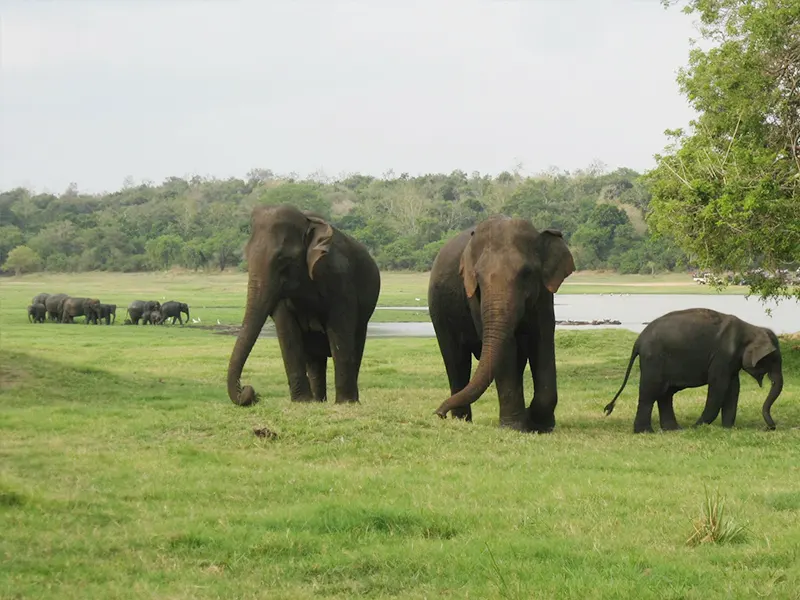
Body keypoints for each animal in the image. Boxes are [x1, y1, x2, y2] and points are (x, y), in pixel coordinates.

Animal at [227, 203, 381, 407]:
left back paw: (349, 400)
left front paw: (345, 403)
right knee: (315, 358)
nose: (250, 392)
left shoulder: (340, 280)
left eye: (283, 259)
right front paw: (302, 402)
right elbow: (287, 331)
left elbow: (340, 333)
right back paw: (318, 401)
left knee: (355, 344)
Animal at [428, 215, 576, 433]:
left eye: (527, 273)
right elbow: (506, 350)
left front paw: (538, 425)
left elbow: (542, 340)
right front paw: (515, 427)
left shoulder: (544, 295)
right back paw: (462, 420)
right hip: (439, 310)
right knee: (456, 359)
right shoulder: (474, 296)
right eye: (477, 276)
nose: (439, 414)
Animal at [603, 308, 784, 433]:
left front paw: (727, 429)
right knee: (651, 391)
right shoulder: (723, 356)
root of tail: (638, 341)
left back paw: (674, 430)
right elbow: (719, 386)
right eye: (773, 360)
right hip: (653, 359)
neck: (752, 328)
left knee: (665, 393)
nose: (770, 428)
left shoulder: (731, 361)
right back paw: (646, 432)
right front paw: (698, 427)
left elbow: (733, 388)